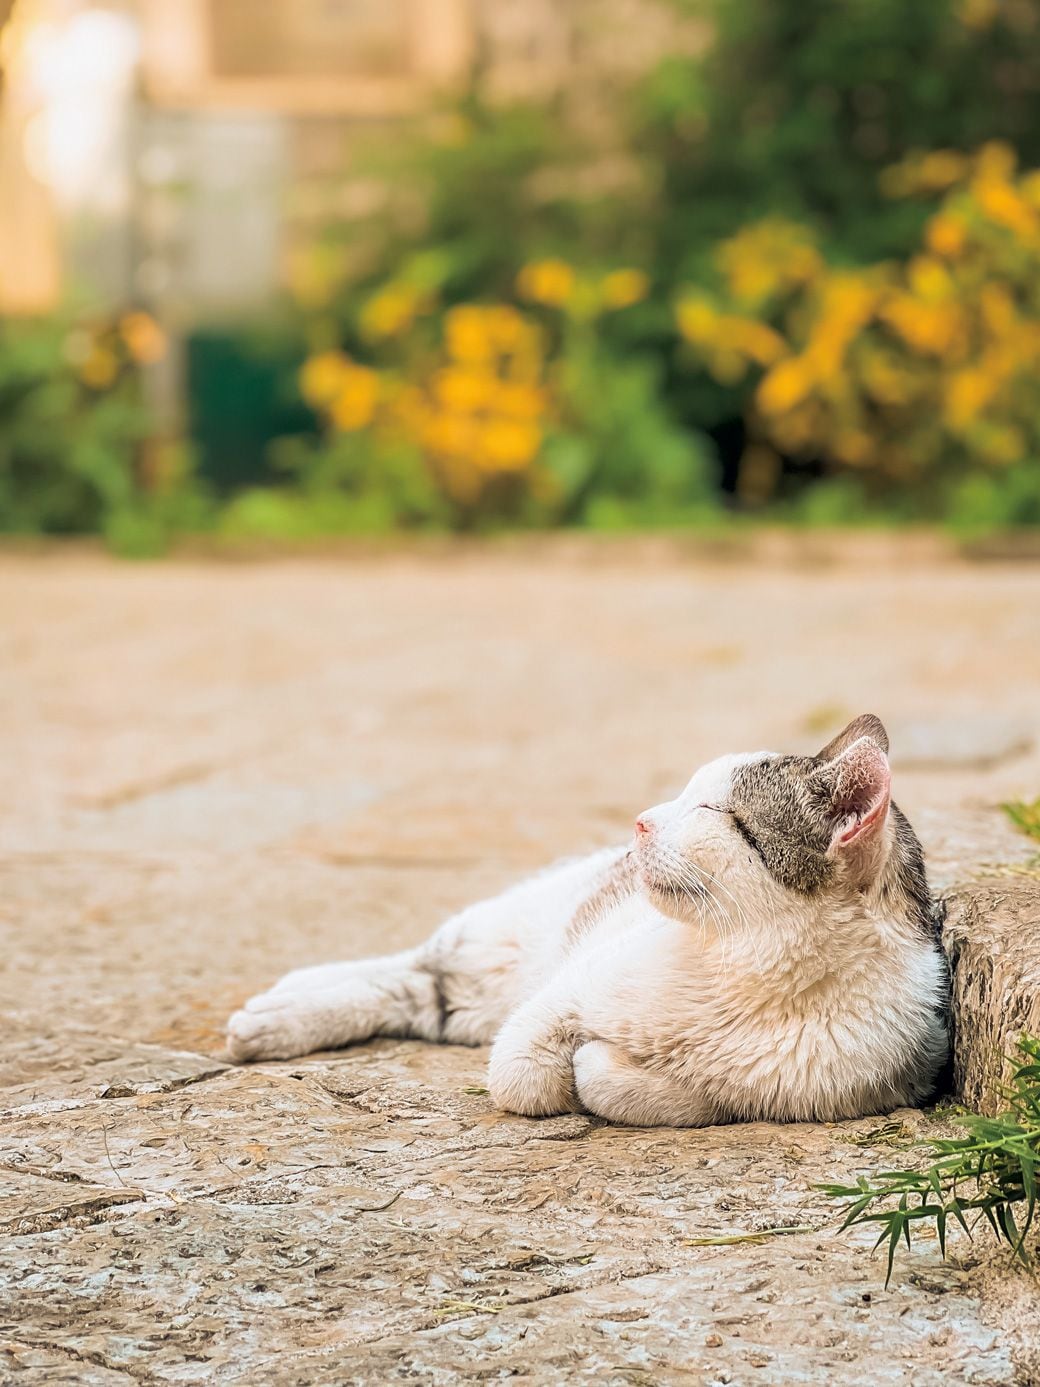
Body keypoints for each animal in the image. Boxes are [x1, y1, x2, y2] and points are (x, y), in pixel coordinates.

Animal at [227, 715, 954, 1126]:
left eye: (708, 811)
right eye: (684, 794)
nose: (640, 821)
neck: (744, 966)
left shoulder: (848, 1084)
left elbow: (667, 1093)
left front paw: (602, 1067)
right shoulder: (562, 995)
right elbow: (522, 1074)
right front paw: (567, 1070)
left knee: (414, 993)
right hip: (504, 939)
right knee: (414, 966)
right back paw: (277, 1008)